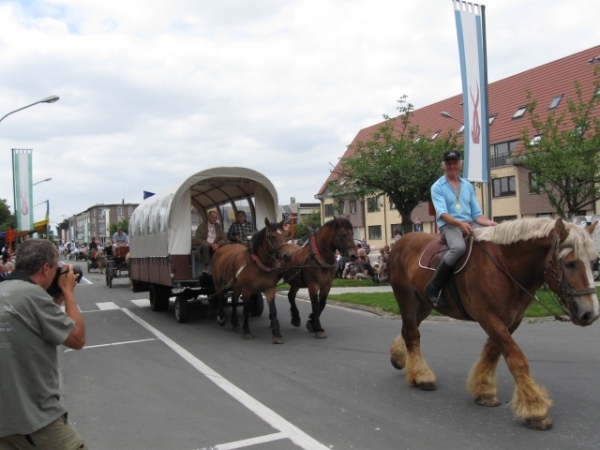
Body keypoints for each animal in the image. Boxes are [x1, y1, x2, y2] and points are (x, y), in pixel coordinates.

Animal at [386, 218, 596, 428]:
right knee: (412, 333)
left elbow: (492, 352)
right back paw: (422, 376)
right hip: (407, 297)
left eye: (594, 262)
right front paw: (535, 409)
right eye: (570, 263)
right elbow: (517, 360)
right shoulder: (489, 318)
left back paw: (399, 358)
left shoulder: (511, 320)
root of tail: (401, 241)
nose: (590, 313)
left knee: (408, 329)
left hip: (423, 304)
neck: (505, 265)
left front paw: (484, 391)